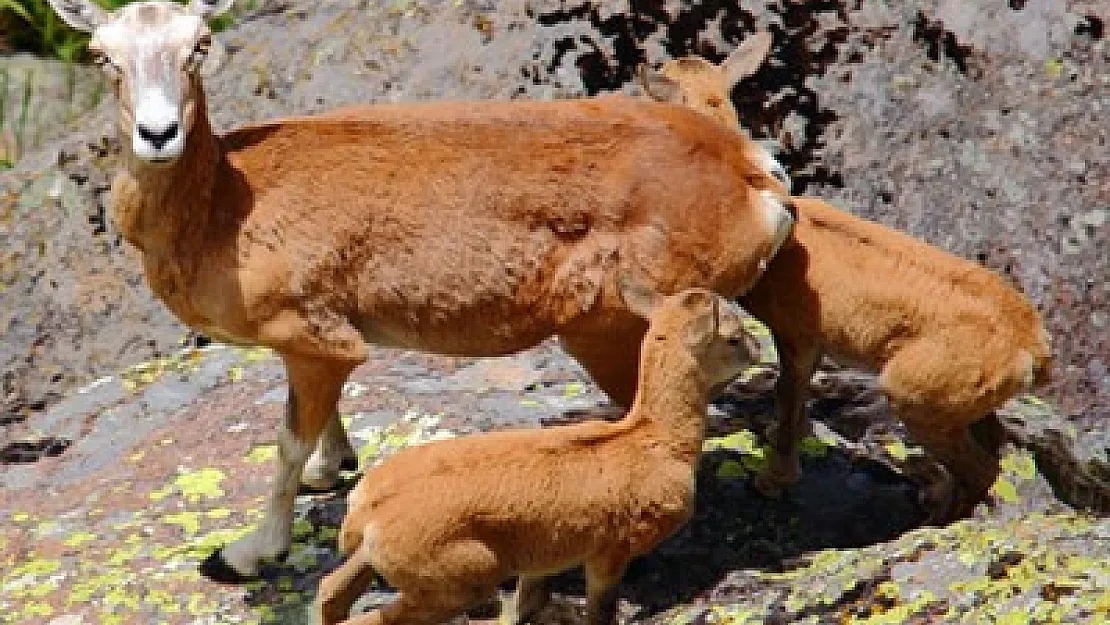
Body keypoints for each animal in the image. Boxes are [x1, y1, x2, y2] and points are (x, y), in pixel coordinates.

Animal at [45, 0, 799, 581]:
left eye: (198, 46)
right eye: (103, 55)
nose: (158, 133)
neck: (225, 205)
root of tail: (753, 176)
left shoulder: (313, 336)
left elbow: (286, 443)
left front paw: (247, 554)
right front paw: (333, 466)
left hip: (616, 328)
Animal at [313, 284, 763, 625]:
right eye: (733, 337)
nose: (759, 349)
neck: (655, 440)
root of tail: (366, 513)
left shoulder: (540, 563)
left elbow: (525, 609)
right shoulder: (609, 553)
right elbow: (599, 614)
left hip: (373, 563)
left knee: (329, 594)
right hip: (459, 581)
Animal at [639, 38, 1052, 519]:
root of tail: (1032, 347)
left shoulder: (797, 332)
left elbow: (787, 393)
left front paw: (772, 480)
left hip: (918, 395)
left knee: (982, 469)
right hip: (969, 399)